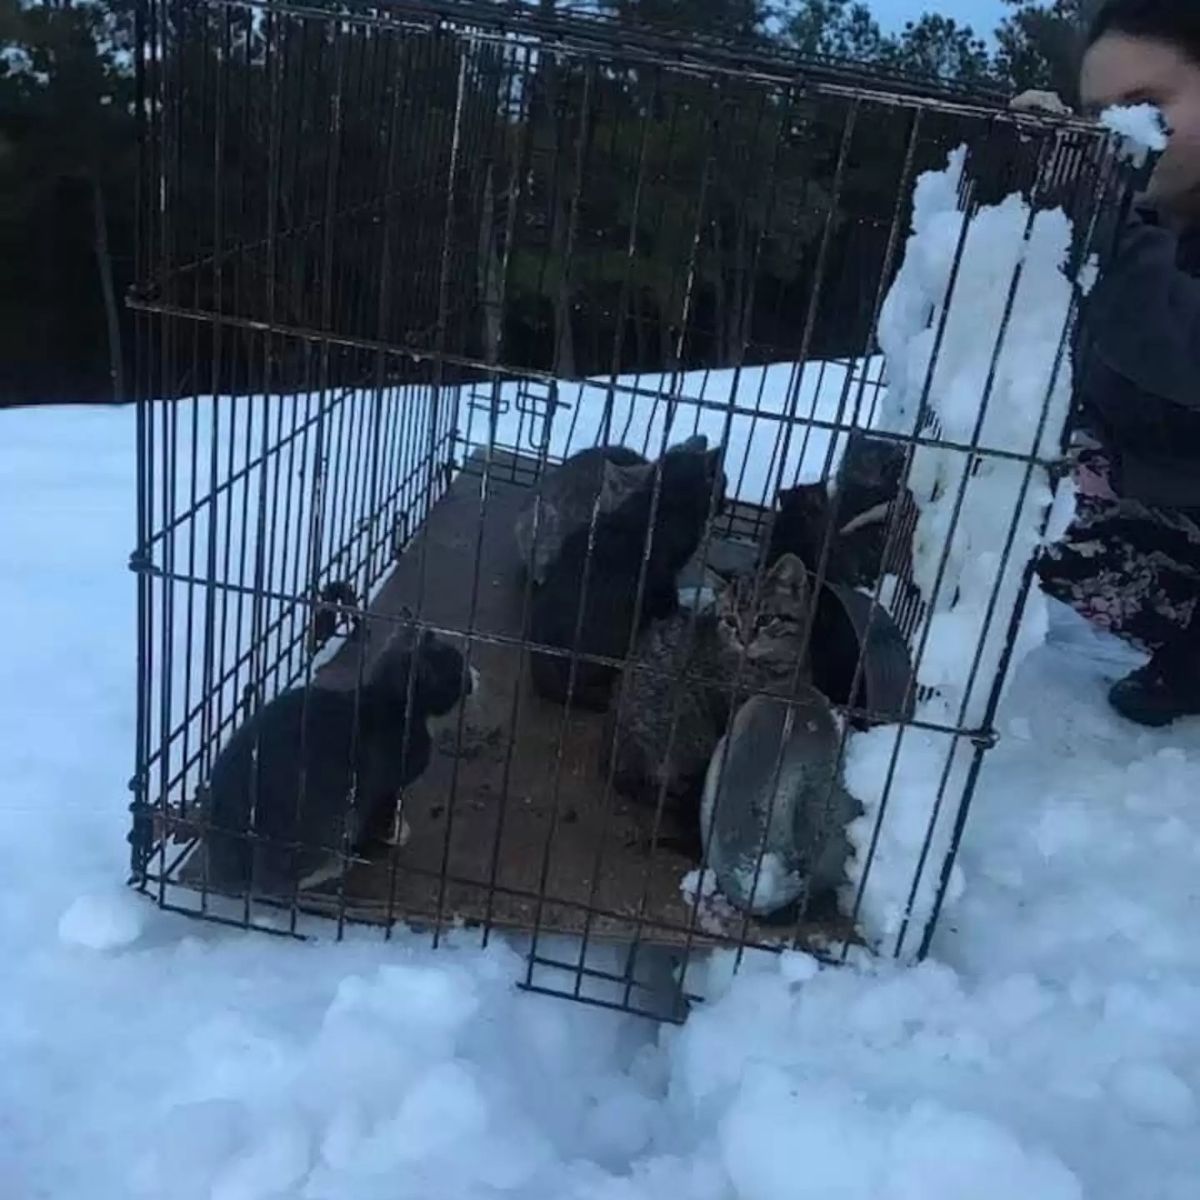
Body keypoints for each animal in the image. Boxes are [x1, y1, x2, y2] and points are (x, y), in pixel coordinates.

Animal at [204, 628, 470, 892]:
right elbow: (385, 813)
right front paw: (397, 833)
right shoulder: (386, 786)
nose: (475, 675)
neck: (391, 702)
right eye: (459, 668)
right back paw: (333, 868)